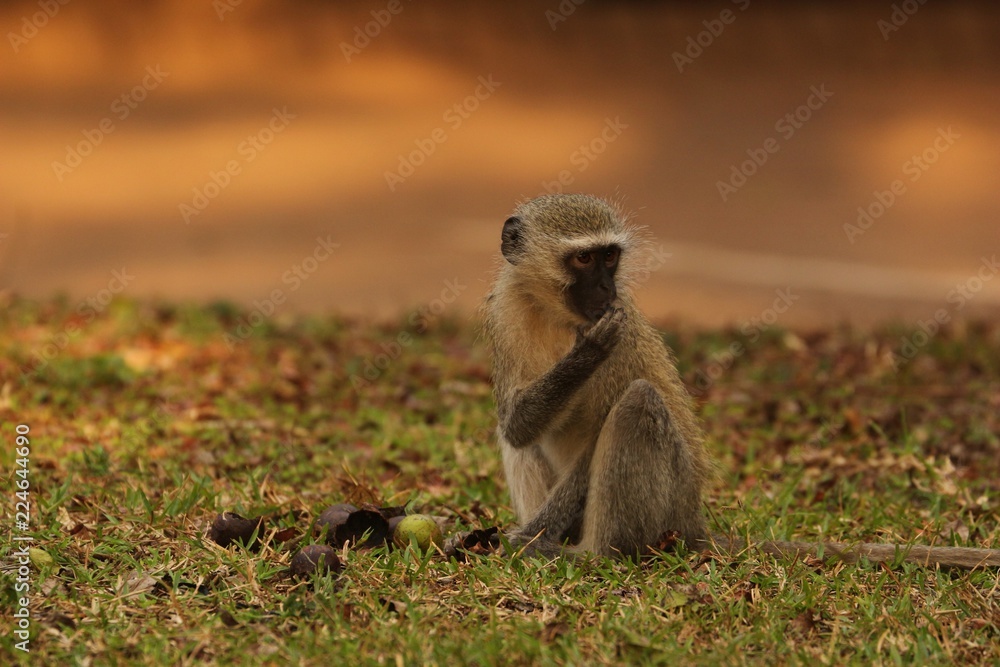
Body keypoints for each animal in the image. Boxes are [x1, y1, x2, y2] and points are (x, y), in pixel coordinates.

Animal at [480, 193, 1000, 570]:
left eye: (610, 258)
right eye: (584, 260)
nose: (607, 290)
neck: (556, 314)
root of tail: (692, 519)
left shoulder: (621, 337)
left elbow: (591, 441)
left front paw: (525, 541)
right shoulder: (506, 311)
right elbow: (518, 424)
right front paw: (584, 354)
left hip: (668, 501)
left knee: (639, 402)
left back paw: (591, 555)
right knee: (516, 432)